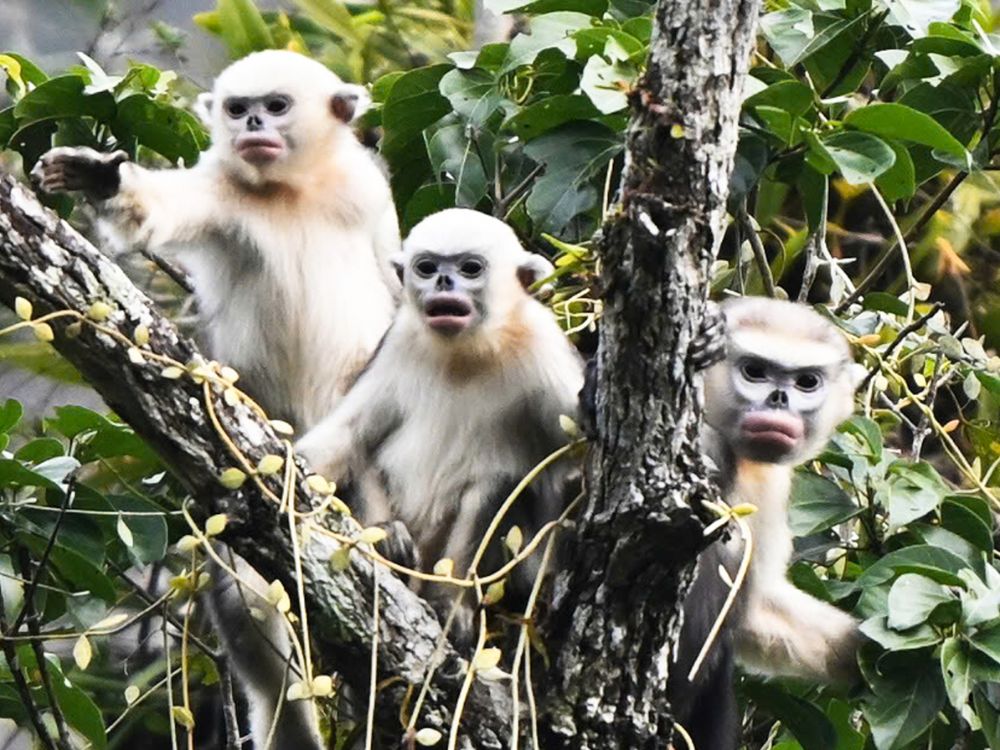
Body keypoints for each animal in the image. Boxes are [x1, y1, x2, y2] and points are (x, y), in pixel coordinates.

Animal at [33, 50, 401, 750]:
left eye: (276, 106)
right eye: (239, 108)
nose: (253, 123)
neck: (291, 191)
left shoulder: (369, 196)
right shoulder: (221, 191)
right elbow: (153, 210)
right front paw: (99, 178)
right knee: (251, 601)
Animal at [296, 208, 585, 634]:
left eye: (470, 269)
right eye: (427, 267)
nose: (443, 281)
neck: (464, 355)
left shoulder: (542, 344)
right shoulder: (398, 340)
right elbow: (344, 437)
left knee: (498, 482)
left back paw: (452, 602)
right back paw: (388, 545)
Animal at [668, 296, 864, 750]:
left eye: (806, 382)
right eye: (755, 372)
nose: (778, 398)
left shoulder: (773, 484)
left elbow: (755, 605)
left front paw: (870, 653)